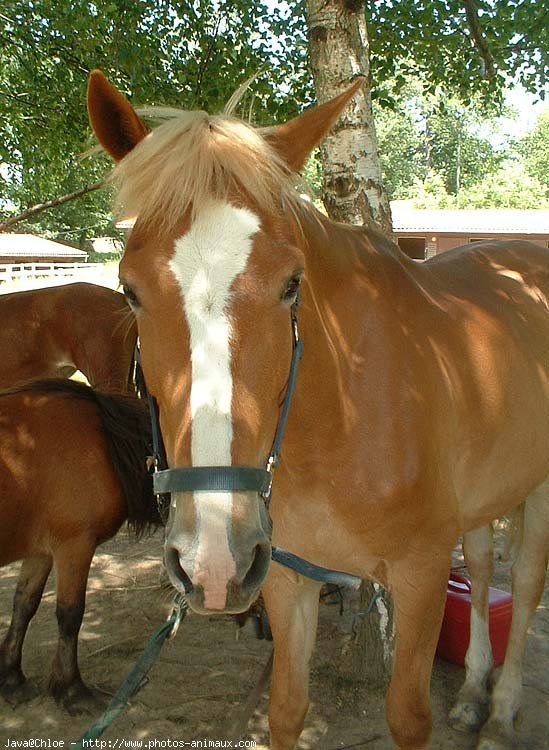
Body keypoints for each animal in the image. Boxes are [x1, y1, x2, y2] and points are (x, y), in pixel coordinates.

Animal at [0, 378, 158, 712]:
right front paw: (72, 689)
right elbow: (70, 615)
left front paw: (11, 676)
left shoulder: (41, 552)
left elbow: (24, 604)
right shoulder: (75, 546)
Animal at [88, 72, 544, 750]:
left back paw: (505, 706)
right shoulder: (283, 575)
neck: (343, 420)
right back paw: (471, 696)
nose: (210, 561)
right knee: (487, 568)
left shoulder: (421, 575)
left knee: (530, 582)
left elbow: (408, 716)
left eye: (291, 284)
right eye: (129, 289)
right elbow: (286, 709)